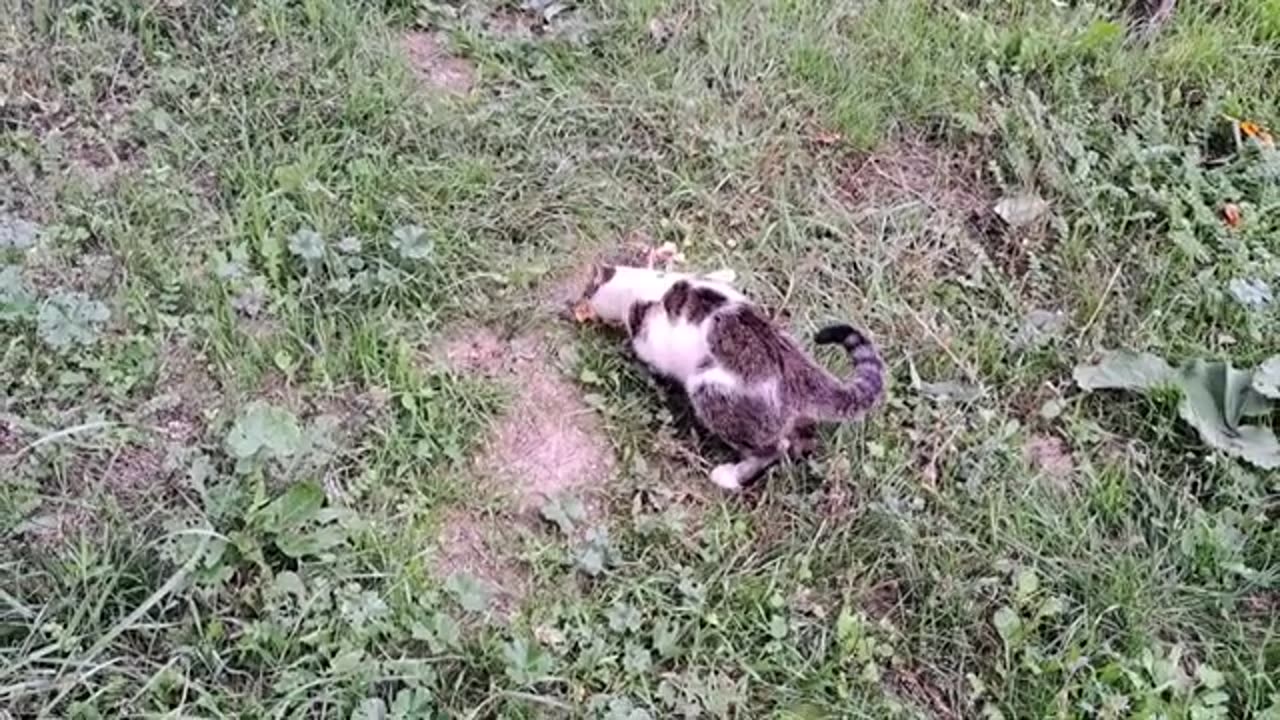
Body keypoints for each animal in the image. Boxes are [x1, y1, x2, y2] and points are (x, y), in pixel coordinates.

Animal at [578, 263, 880, 486]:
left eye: (586, 290)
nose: (578, 301)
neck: (647, 285)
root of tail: (795, 366)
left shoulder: (651, 337)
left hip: (708, 389)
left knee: (773, 449)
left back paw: (729, 476)